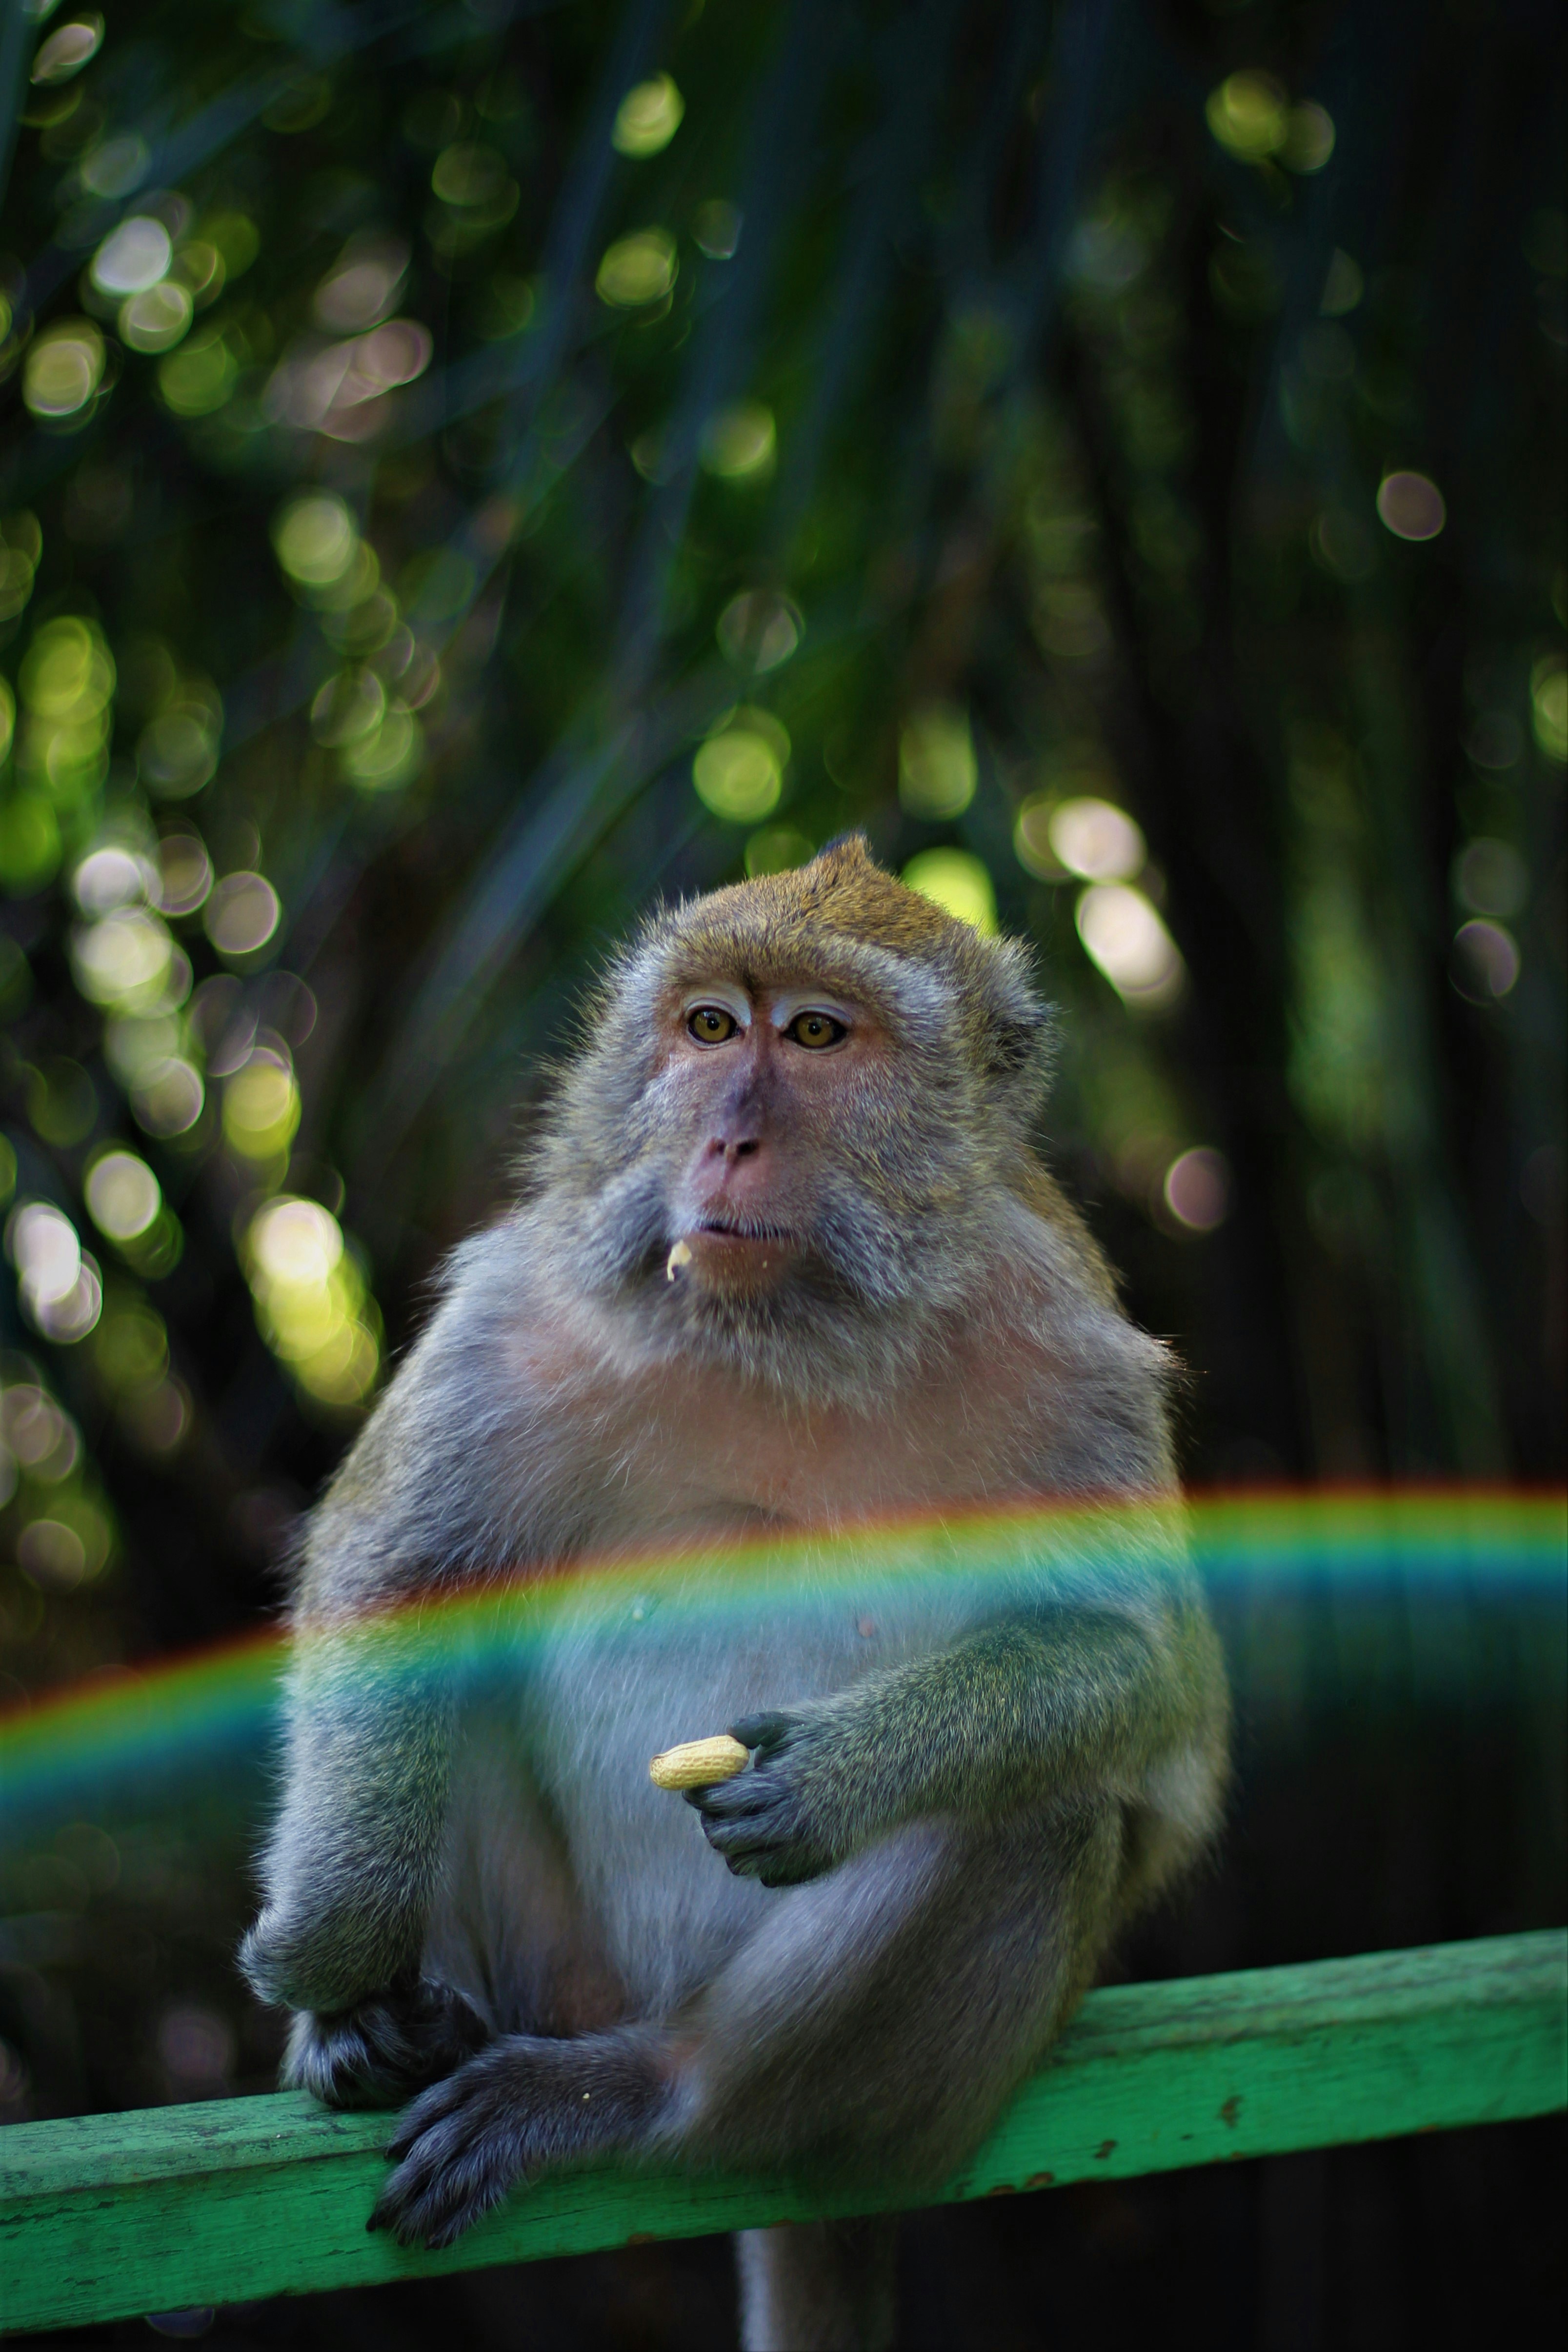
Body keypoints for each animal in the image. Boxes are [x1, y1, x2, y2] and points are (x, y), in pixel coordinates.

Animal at [240, 835, 1228, 2352]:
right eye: (709, 1026)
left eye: (816, 1035)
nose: (727, 1137)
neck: (788, 1329)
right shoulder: (523, 1301)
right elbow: (402, 1576)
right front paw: (334, 1952)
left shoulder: (1067, 1344)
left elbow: (1144, 1670)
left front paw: (841, 1766)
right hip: (555, 1960)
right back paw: (385, 2026)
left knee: (1038, 1811)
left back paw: (647, 2093)